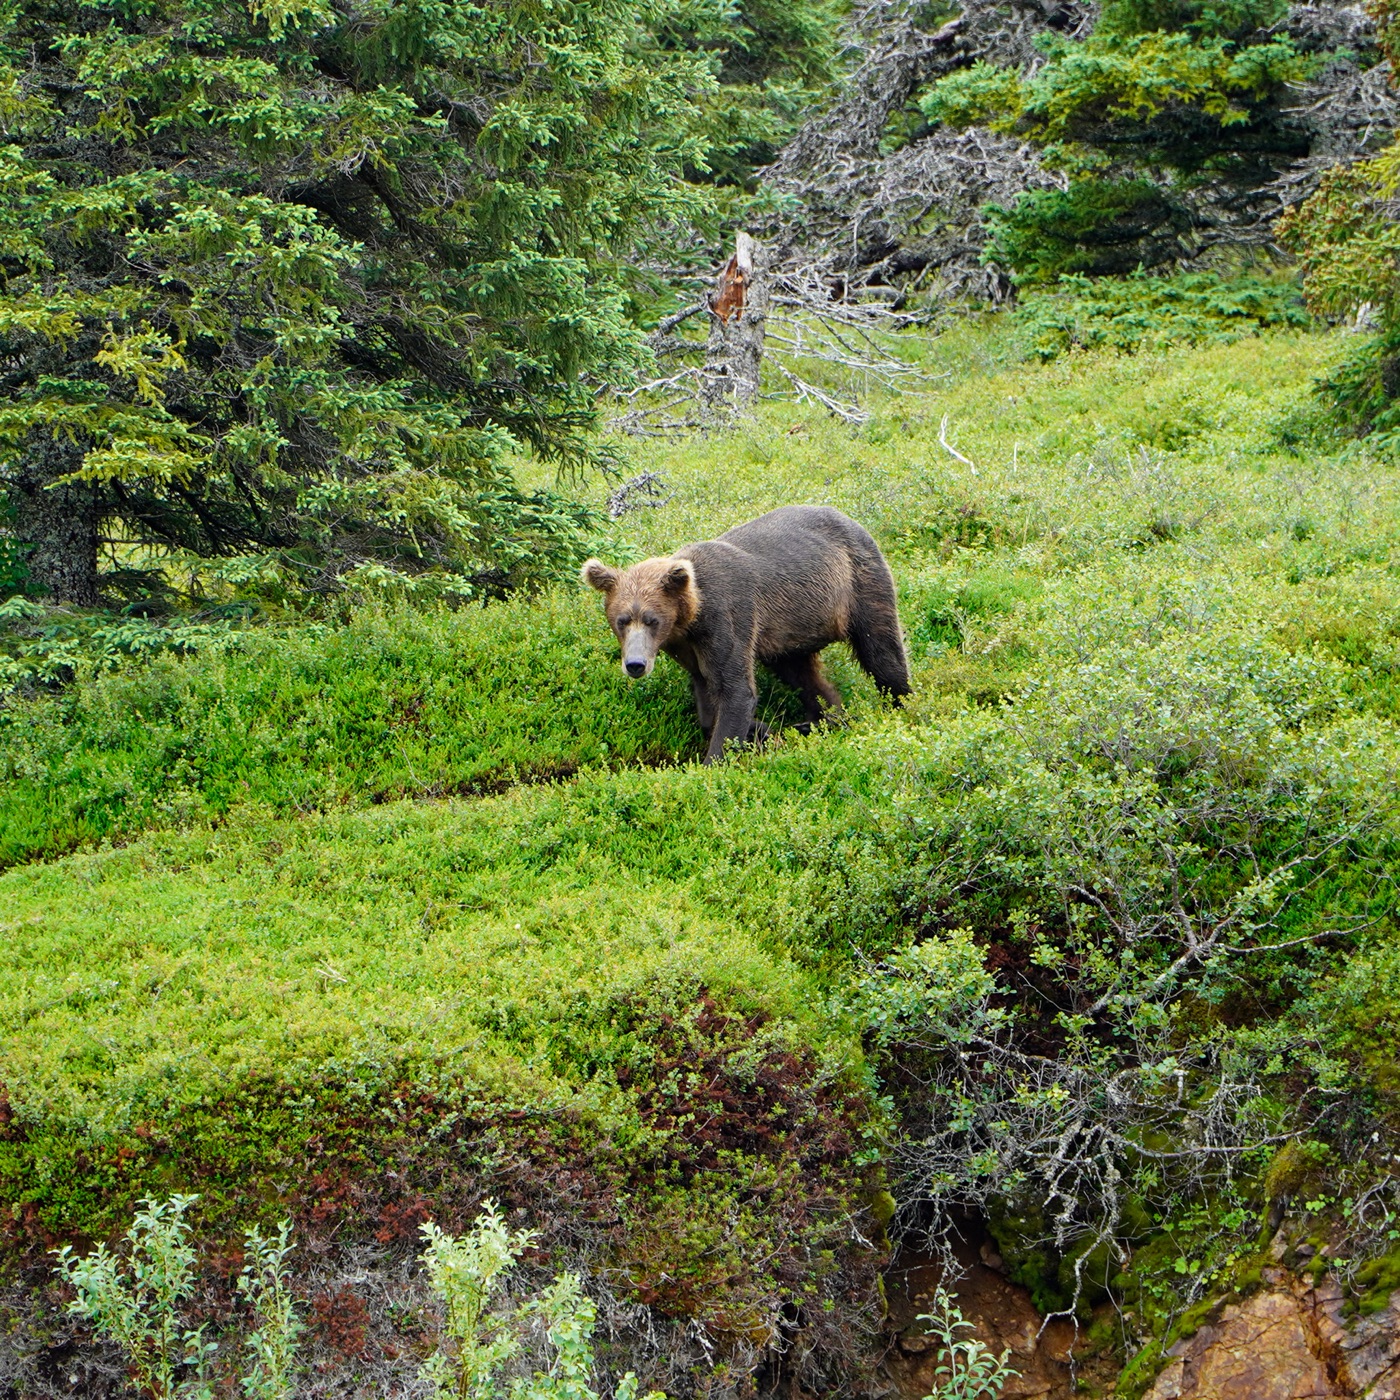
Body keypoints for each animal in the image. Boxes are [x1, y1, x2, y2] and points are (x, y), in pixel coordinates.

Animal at [581, 505, 910, 763]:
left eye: (652, 620)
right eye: (622, 620)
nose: (635, 664)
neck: (690, 618)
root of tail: (850, 518)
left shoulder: (726, 619)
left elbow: (736, 689)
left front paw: (715, 759)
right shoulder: (686, 646)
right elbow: (706, 692)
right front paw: (761, 727)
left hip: (859, 582)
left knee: (881, 650)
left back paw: (900, 705)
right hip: (791, 628)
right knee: (801, 674)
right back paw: (823, 717)